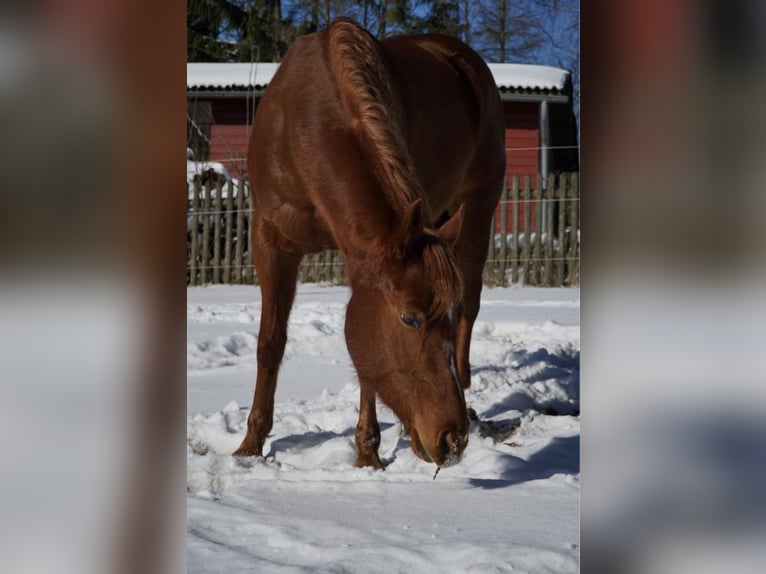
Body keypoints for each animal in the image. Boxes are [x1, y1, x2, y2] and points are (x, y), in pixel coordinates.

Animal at [234, 18, 505, 469]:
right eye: (409, 319)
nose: (453, 440)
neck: (304, 122)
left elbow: (366, 368)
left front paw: (367, 453)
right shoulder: (271, 239)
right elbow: (270, 341)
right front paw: (250, 445)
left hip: (478, 213)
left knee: (473, 301)